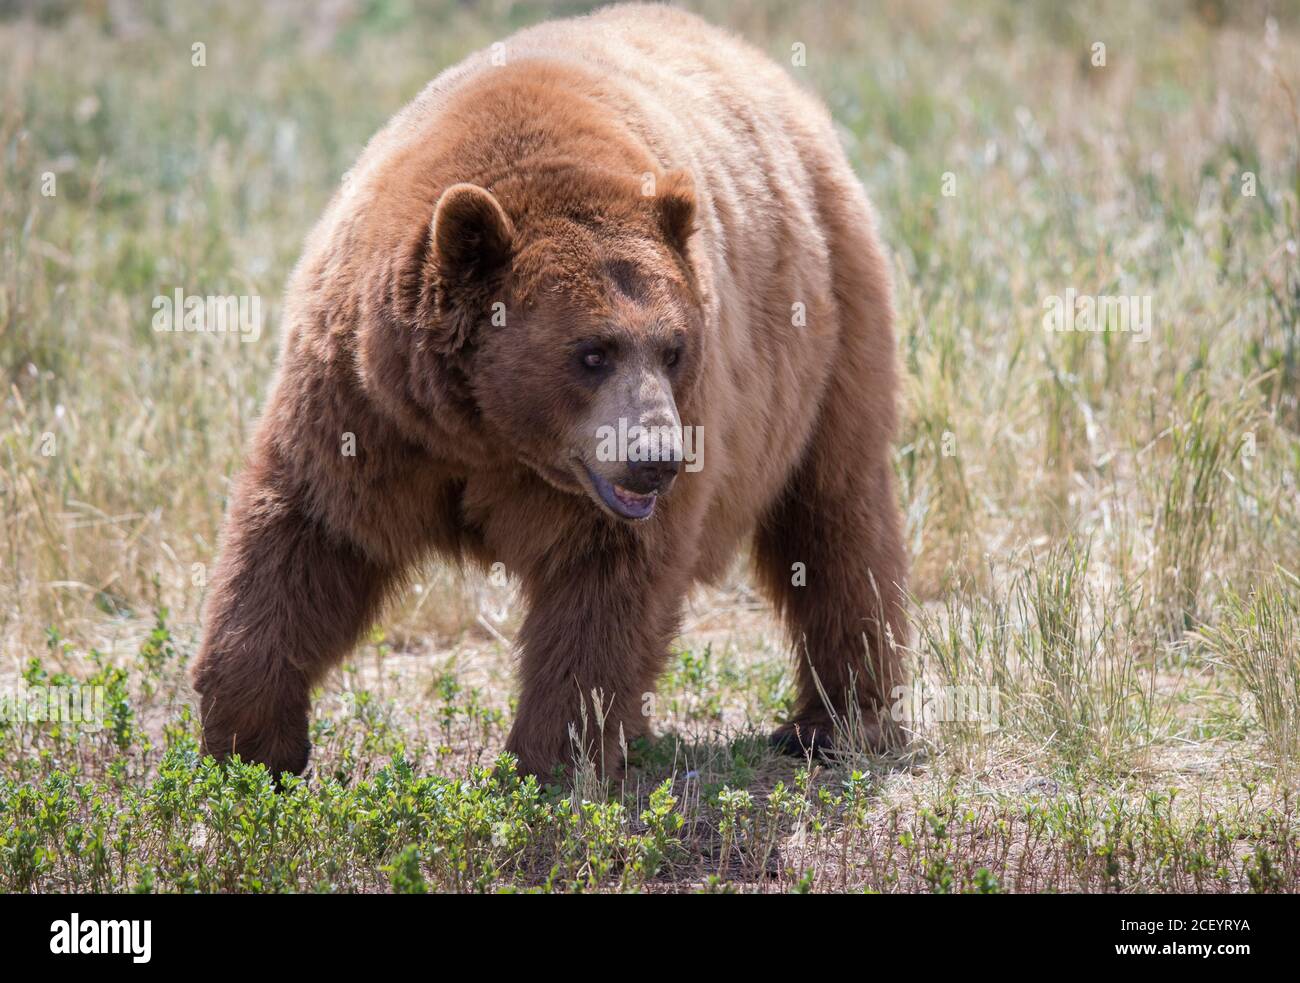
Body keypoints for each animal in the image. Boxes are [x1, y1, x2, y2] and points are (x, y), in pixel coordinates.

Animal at [190, 3, 907, 780]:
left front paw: (549, 761)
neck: (486, 434)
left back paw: (836, 720)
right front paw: (247, 744)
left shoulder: (637, 463)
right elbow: (307, 534)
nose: (657, 458)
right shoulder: (367, 401)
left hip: (825, 331)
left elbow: (604, 589)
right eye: (591, 351)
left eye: (674, 348)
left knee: (836, 519)